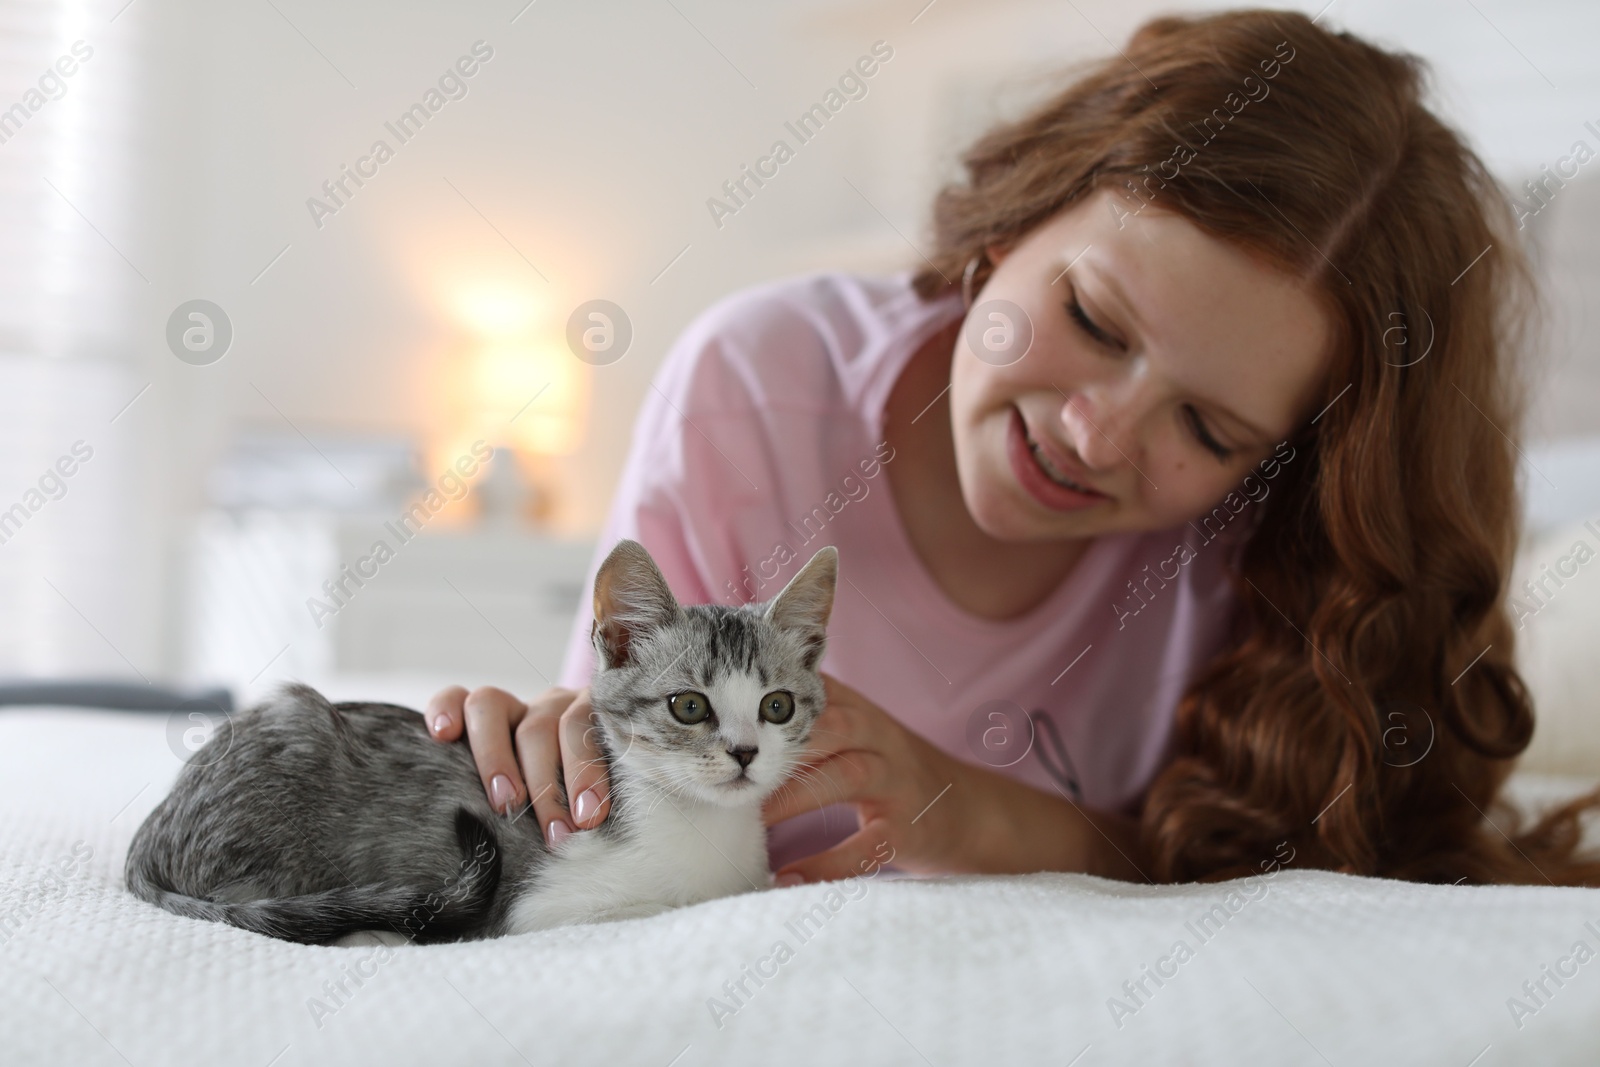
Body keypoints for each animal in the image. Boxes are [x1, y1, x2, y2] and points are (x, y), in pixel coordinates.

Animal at [124, 543, 838, 940]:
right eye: (688, 706)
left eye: (777, 706)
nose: (744, 752)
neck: (708, 835)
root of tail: (149, 839)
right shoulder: (537, 910)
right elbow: (653, 911)